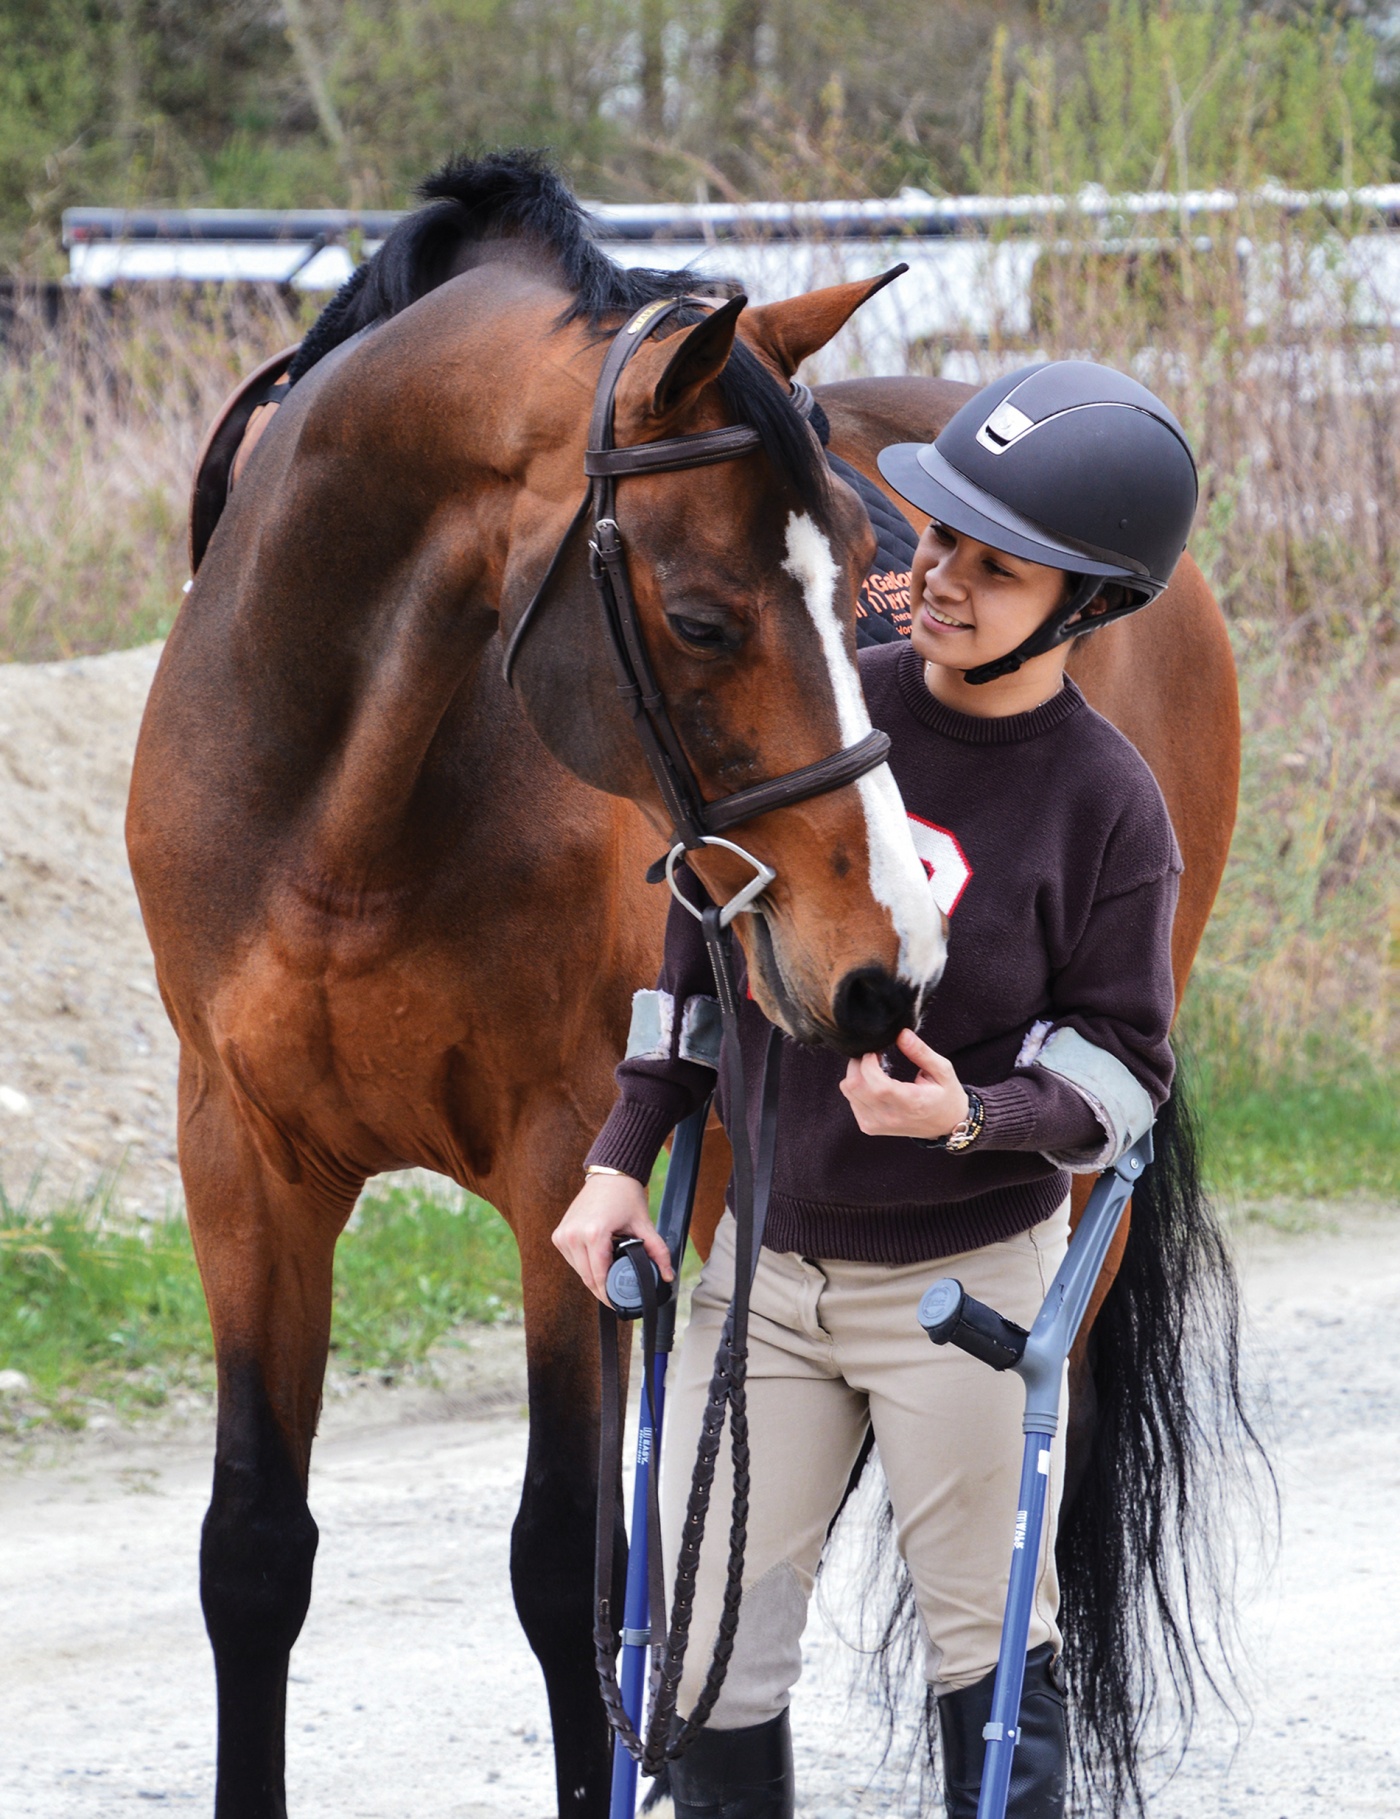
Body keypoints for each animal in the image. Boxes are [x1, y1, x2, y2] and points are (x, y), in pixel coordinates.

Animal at [128, 156, 1243, 1819]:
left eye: (864, 574)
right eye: (705, 615)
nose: (889, 958)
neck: (340, 805)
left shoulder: (564, 1167)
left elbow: (569, 1570)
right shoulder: (244, 1157)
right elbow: (254, 1551)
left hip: (1053, 1212)